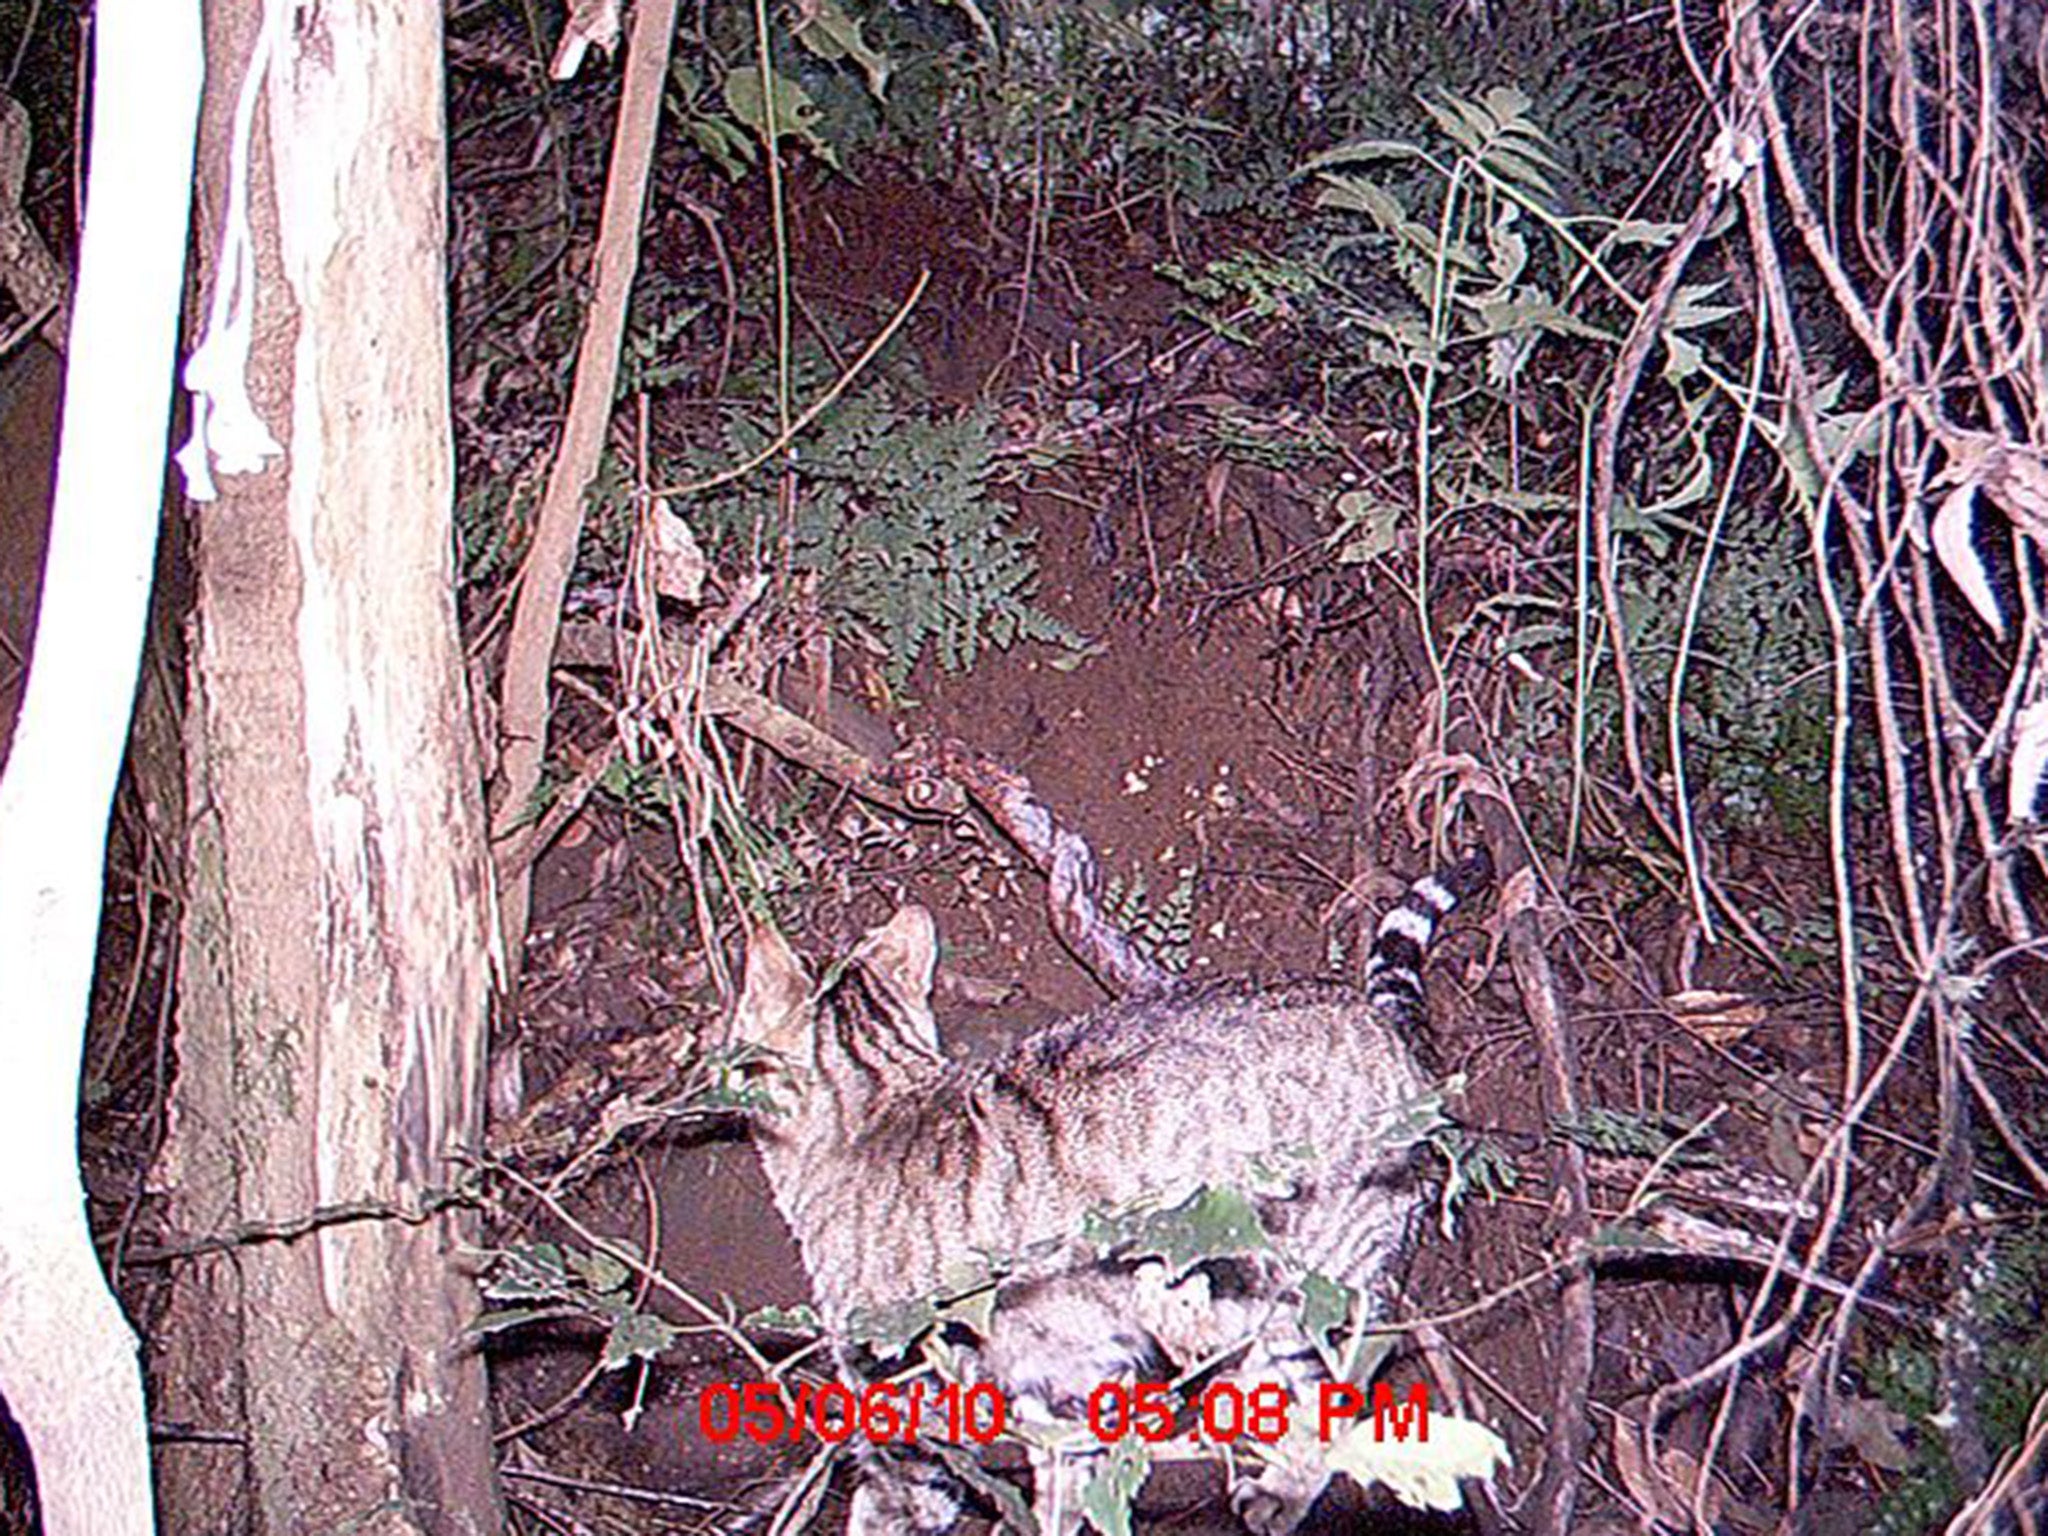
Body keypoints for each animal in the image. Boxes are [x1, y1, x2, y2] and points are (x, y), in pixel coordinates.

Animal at [737, 856, 1490, 1536]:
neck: (882, 1102)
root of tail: (1379, 1017)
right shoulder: (1064, 1376)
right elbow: (1069, 1479)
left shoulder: (903, 1381)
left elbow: (900, 1498)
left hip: (1317, 1277)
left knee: (1354, 1365)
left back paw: (1280, 1482)